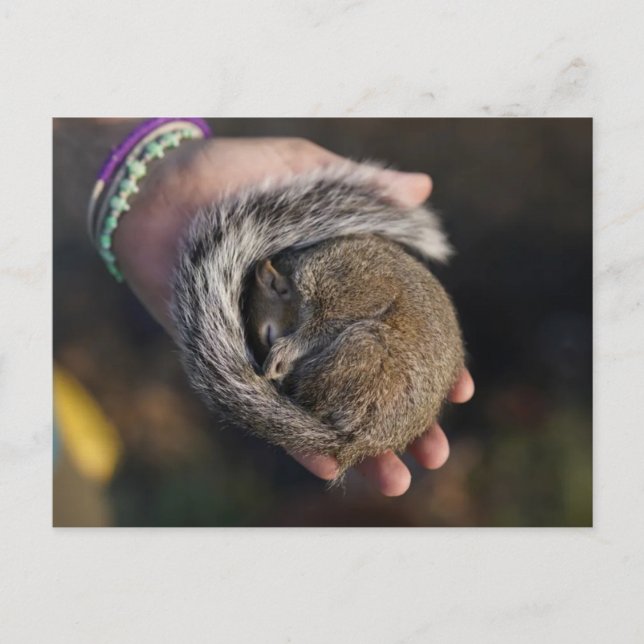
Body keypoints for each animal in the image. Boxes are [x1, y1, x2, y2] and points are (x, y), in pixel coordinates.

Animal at [171, 163, 465, 479]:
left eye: (270, 335)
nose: (271, 375)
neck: (301, 267)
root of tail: (361, 441)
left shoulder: (343, 282)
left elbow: (335, 318)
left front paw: (285, 352)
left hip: (364, 351)